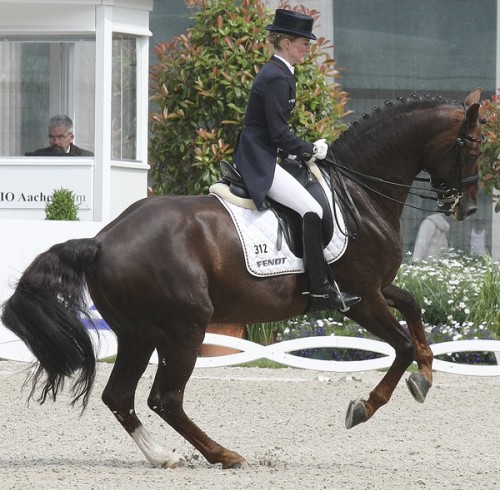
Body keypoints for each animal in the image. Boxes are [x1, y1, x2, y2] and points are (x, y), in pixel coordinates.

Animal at [0, 87, 484, 468]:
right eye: (474, 147)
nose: (468, 208)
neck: (359, 194)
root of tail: (102, 240)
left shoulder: (374, 289)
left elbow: (414, 309)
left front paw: (425, 377)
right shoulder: (361, 298)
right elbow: (400, 346)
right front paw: (364, 406)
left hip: (137, 333)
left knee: (120, 397)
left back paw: (164, 456)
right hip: (184, 329)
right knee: (165, 398)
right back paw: (223, 454)